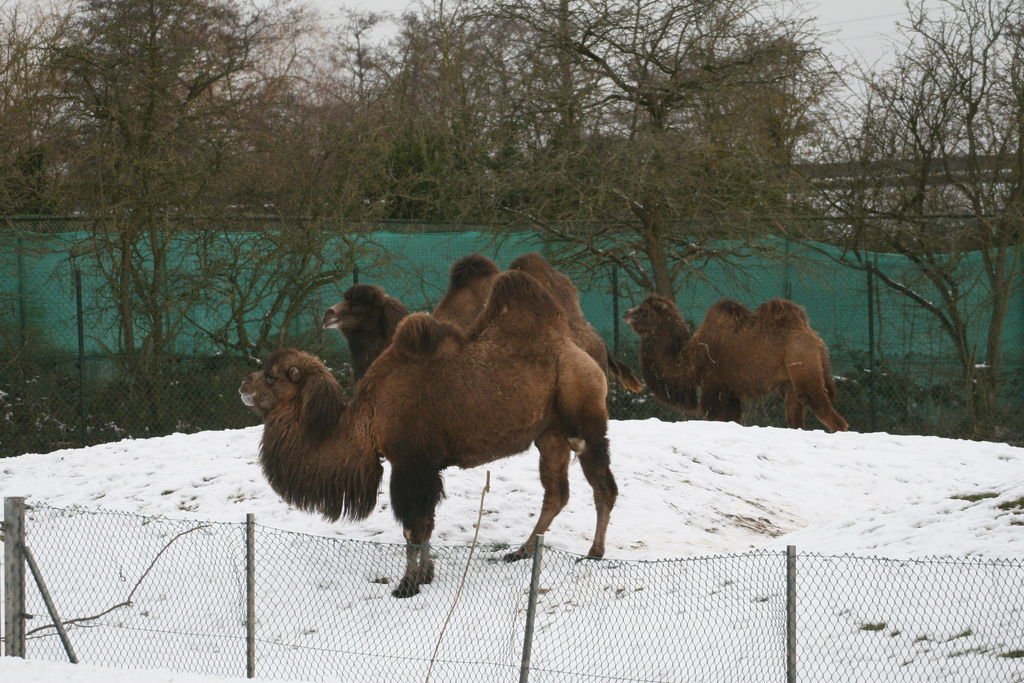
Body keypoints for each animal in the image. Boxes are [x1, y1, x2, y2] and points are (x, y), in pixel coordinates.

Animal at [242, 270, 617, 598]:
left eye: (272, 377)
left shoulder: (410, 463)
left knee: (603, 487)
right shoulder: (425, 468)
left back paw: (594, 552)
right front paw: (426, 575)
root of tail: (582, 351)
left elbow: (413, 528)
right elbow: (427, 524)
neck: (367, 418)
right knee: (556, 494)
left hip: (585, 421)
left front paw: (406, 586)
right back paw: (521, 552)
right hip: (549, 434)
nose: (244, 384)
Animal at [623, 294, 848, 432]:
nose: (626, 313)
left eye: (643, 310)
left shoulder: (714, 388)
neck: (689, 359)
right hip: (792, 381)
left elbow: (716, 417)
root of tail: (817, 341)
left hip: (803, 364)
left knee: (824, 409)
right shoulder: (731, 393)